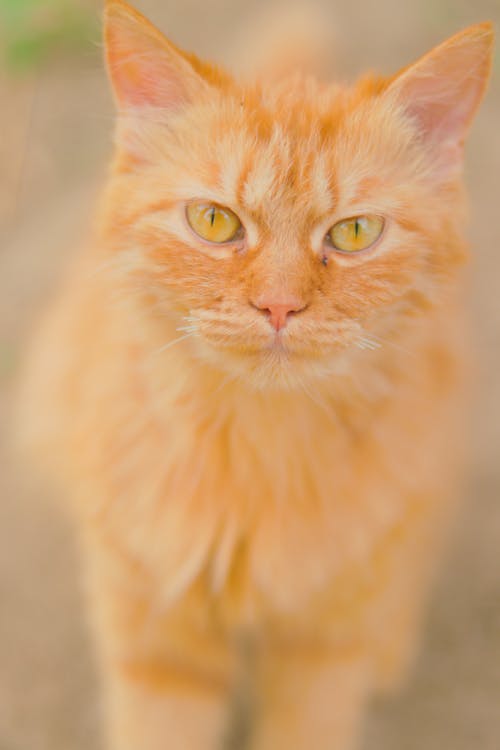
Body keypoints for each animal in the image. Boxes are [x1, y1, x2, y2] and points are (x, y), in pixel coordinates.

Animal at [19, 2, 492, 748]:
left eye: (354, 233)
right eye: (215, 221)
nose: (278, 305)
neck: (261, 453)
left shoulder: (323, 652)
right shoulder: (157, 647)